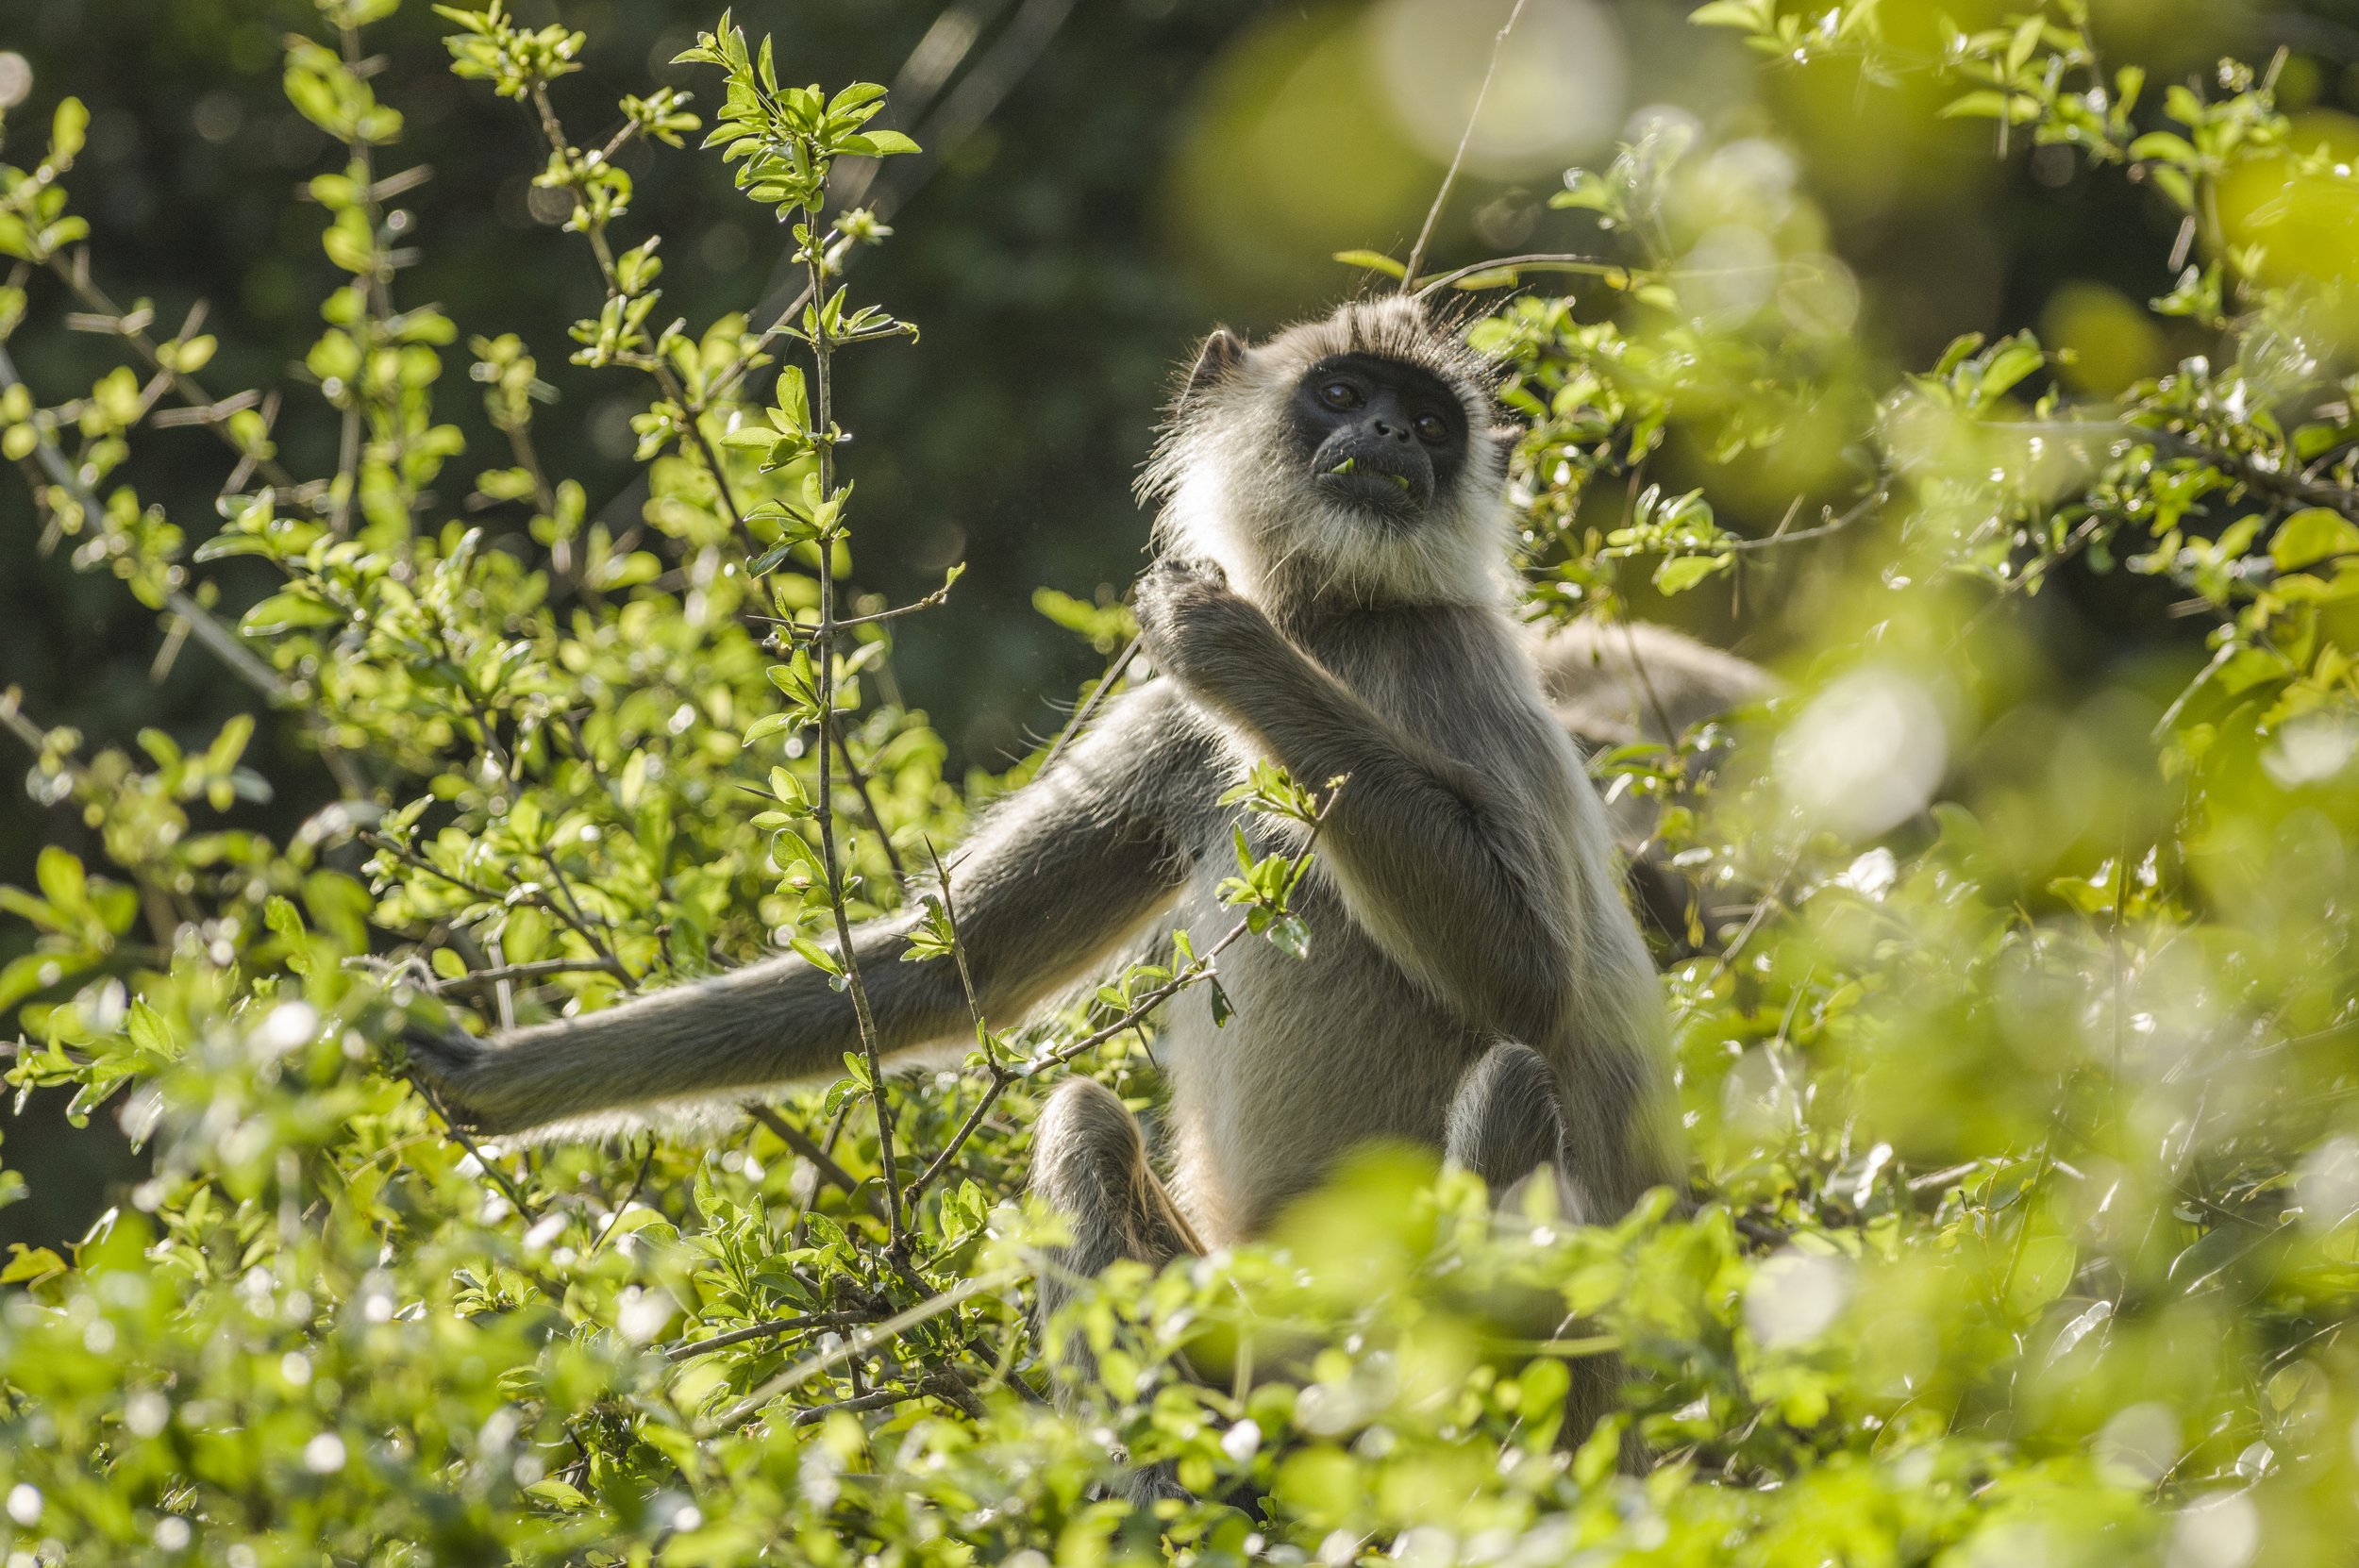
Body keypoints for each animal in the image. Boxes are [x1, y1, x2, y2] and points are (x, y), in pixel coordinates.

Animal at [415, 296, 1689, 1452]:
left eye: (1429, 424)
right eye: (1341, 393)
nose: (1384, 433)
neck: (1336, 625)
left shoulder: (1448, 665)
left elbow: (1529, 981)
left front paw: (1226, 639)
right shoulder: (1174, 732)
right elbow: (941, 976)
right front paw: (482, 1076)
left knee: (1514, 1083)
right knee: (1083, 1125)